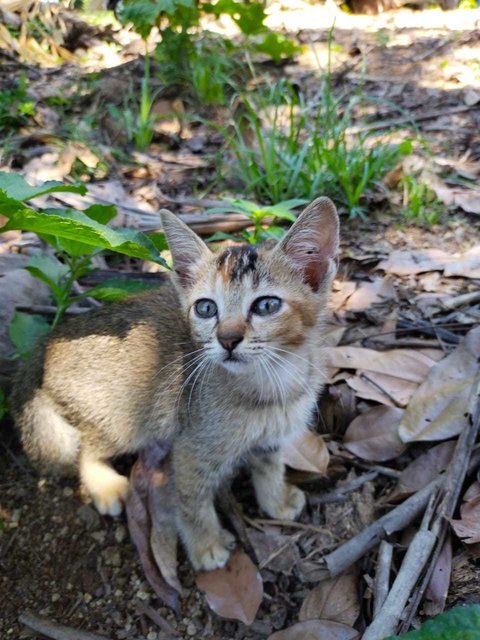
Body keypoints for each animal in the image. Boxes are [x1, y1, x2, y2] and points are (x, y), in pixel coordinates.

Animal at [12, 196, 342, 568]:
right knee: (85, 449)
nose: (227, 340)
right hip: (123, 418)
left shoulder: (270, 440)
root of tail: (46, 344)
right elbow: (191, 499)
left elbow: (269, 468)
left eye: (267, 305)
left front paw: (276, 501)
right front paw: (205, 544)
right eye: (206, 308)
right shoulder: (190, 450)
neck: (272, 384)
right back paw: (105, 485)